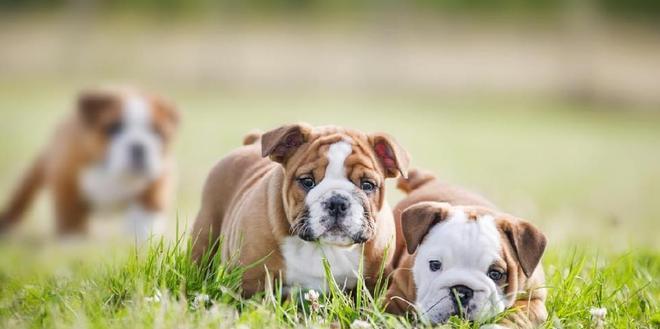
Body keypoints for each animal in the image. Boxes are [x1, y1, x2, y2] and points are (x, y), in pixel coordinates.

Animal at [0, 86, 179, 238]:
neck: (111, 171)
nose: (138, 146)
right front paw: (74, 242)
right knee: (22, 195)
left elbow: (147, 213)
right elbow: (70, 216)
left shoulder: (158, 179)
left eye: (157, 132)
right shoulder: (66, 179)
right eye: (113, 128)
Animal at [191, 123, 408, 298]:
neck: (322, 246)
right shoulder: (252, 278)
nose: (337, 202)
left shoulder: (373, 281)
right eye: (307, 181)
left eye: (367, 185)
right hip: (206, 230)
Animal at [386, 169, 548, 328]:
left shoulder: (534, 300)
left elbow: (515, 316)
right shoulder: (396, 295)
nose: (461, 291)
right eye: (435, 265)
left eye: (495, 274)